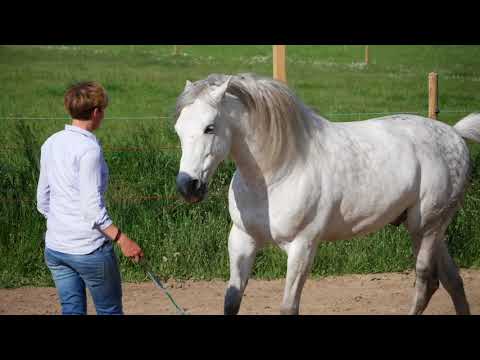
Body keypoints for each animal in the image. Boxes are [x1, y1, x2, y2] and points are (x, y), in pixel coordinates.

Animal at [174, 73, 478, 316]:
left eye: (209, 127)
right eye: (178, 129)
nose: (187, 186)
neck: (280, 169)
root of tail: (454, 134)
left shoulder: (302, 246)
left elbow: (288, 307)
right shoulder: (242, 240)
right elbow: (231, 301)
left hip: (425, 228)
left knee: (426, 282)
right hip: (431, 230)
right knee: (453, 281)